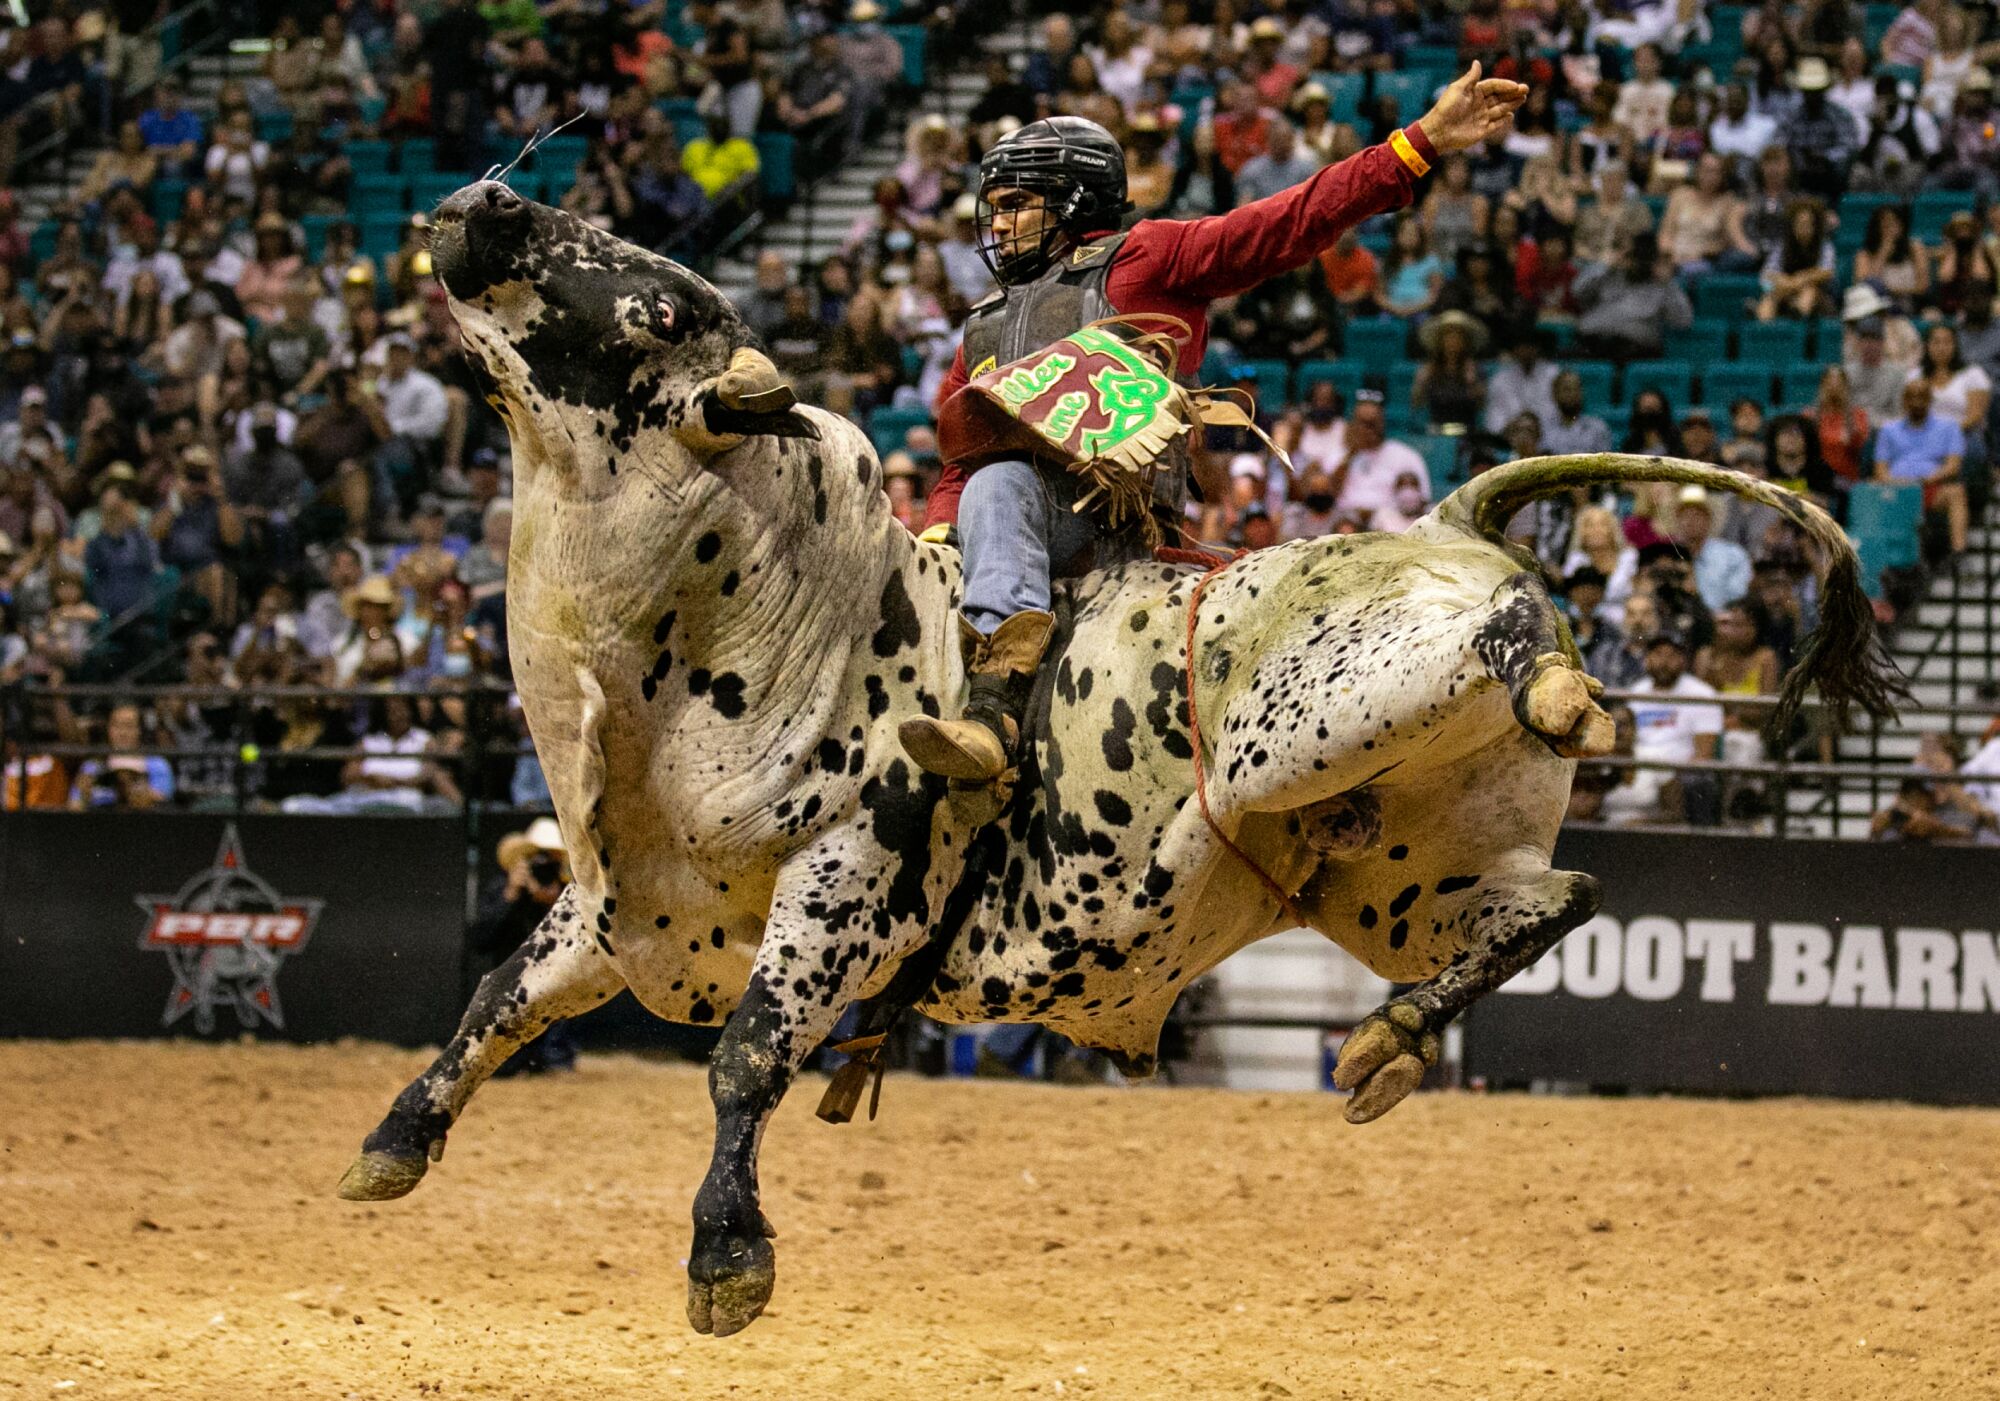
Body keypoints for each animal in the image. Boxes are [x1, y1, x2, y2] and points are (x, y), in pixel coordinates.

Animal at [344, 183, 1904, 1336]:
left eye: (663, 302)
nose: (491, 198)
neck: (765, 614)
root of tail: (1446, 520)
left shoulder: (851, 878)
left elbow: (746, 1057)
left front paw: (728, 1260)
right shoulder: (625, 908)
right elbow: (498, 999)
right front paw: (395, 1142)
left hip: (1312, 721)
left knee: (1523, 662)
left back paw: (1559, 688)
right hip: (1385, 867)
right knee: (1553, 898)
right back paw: (1388, 1042)